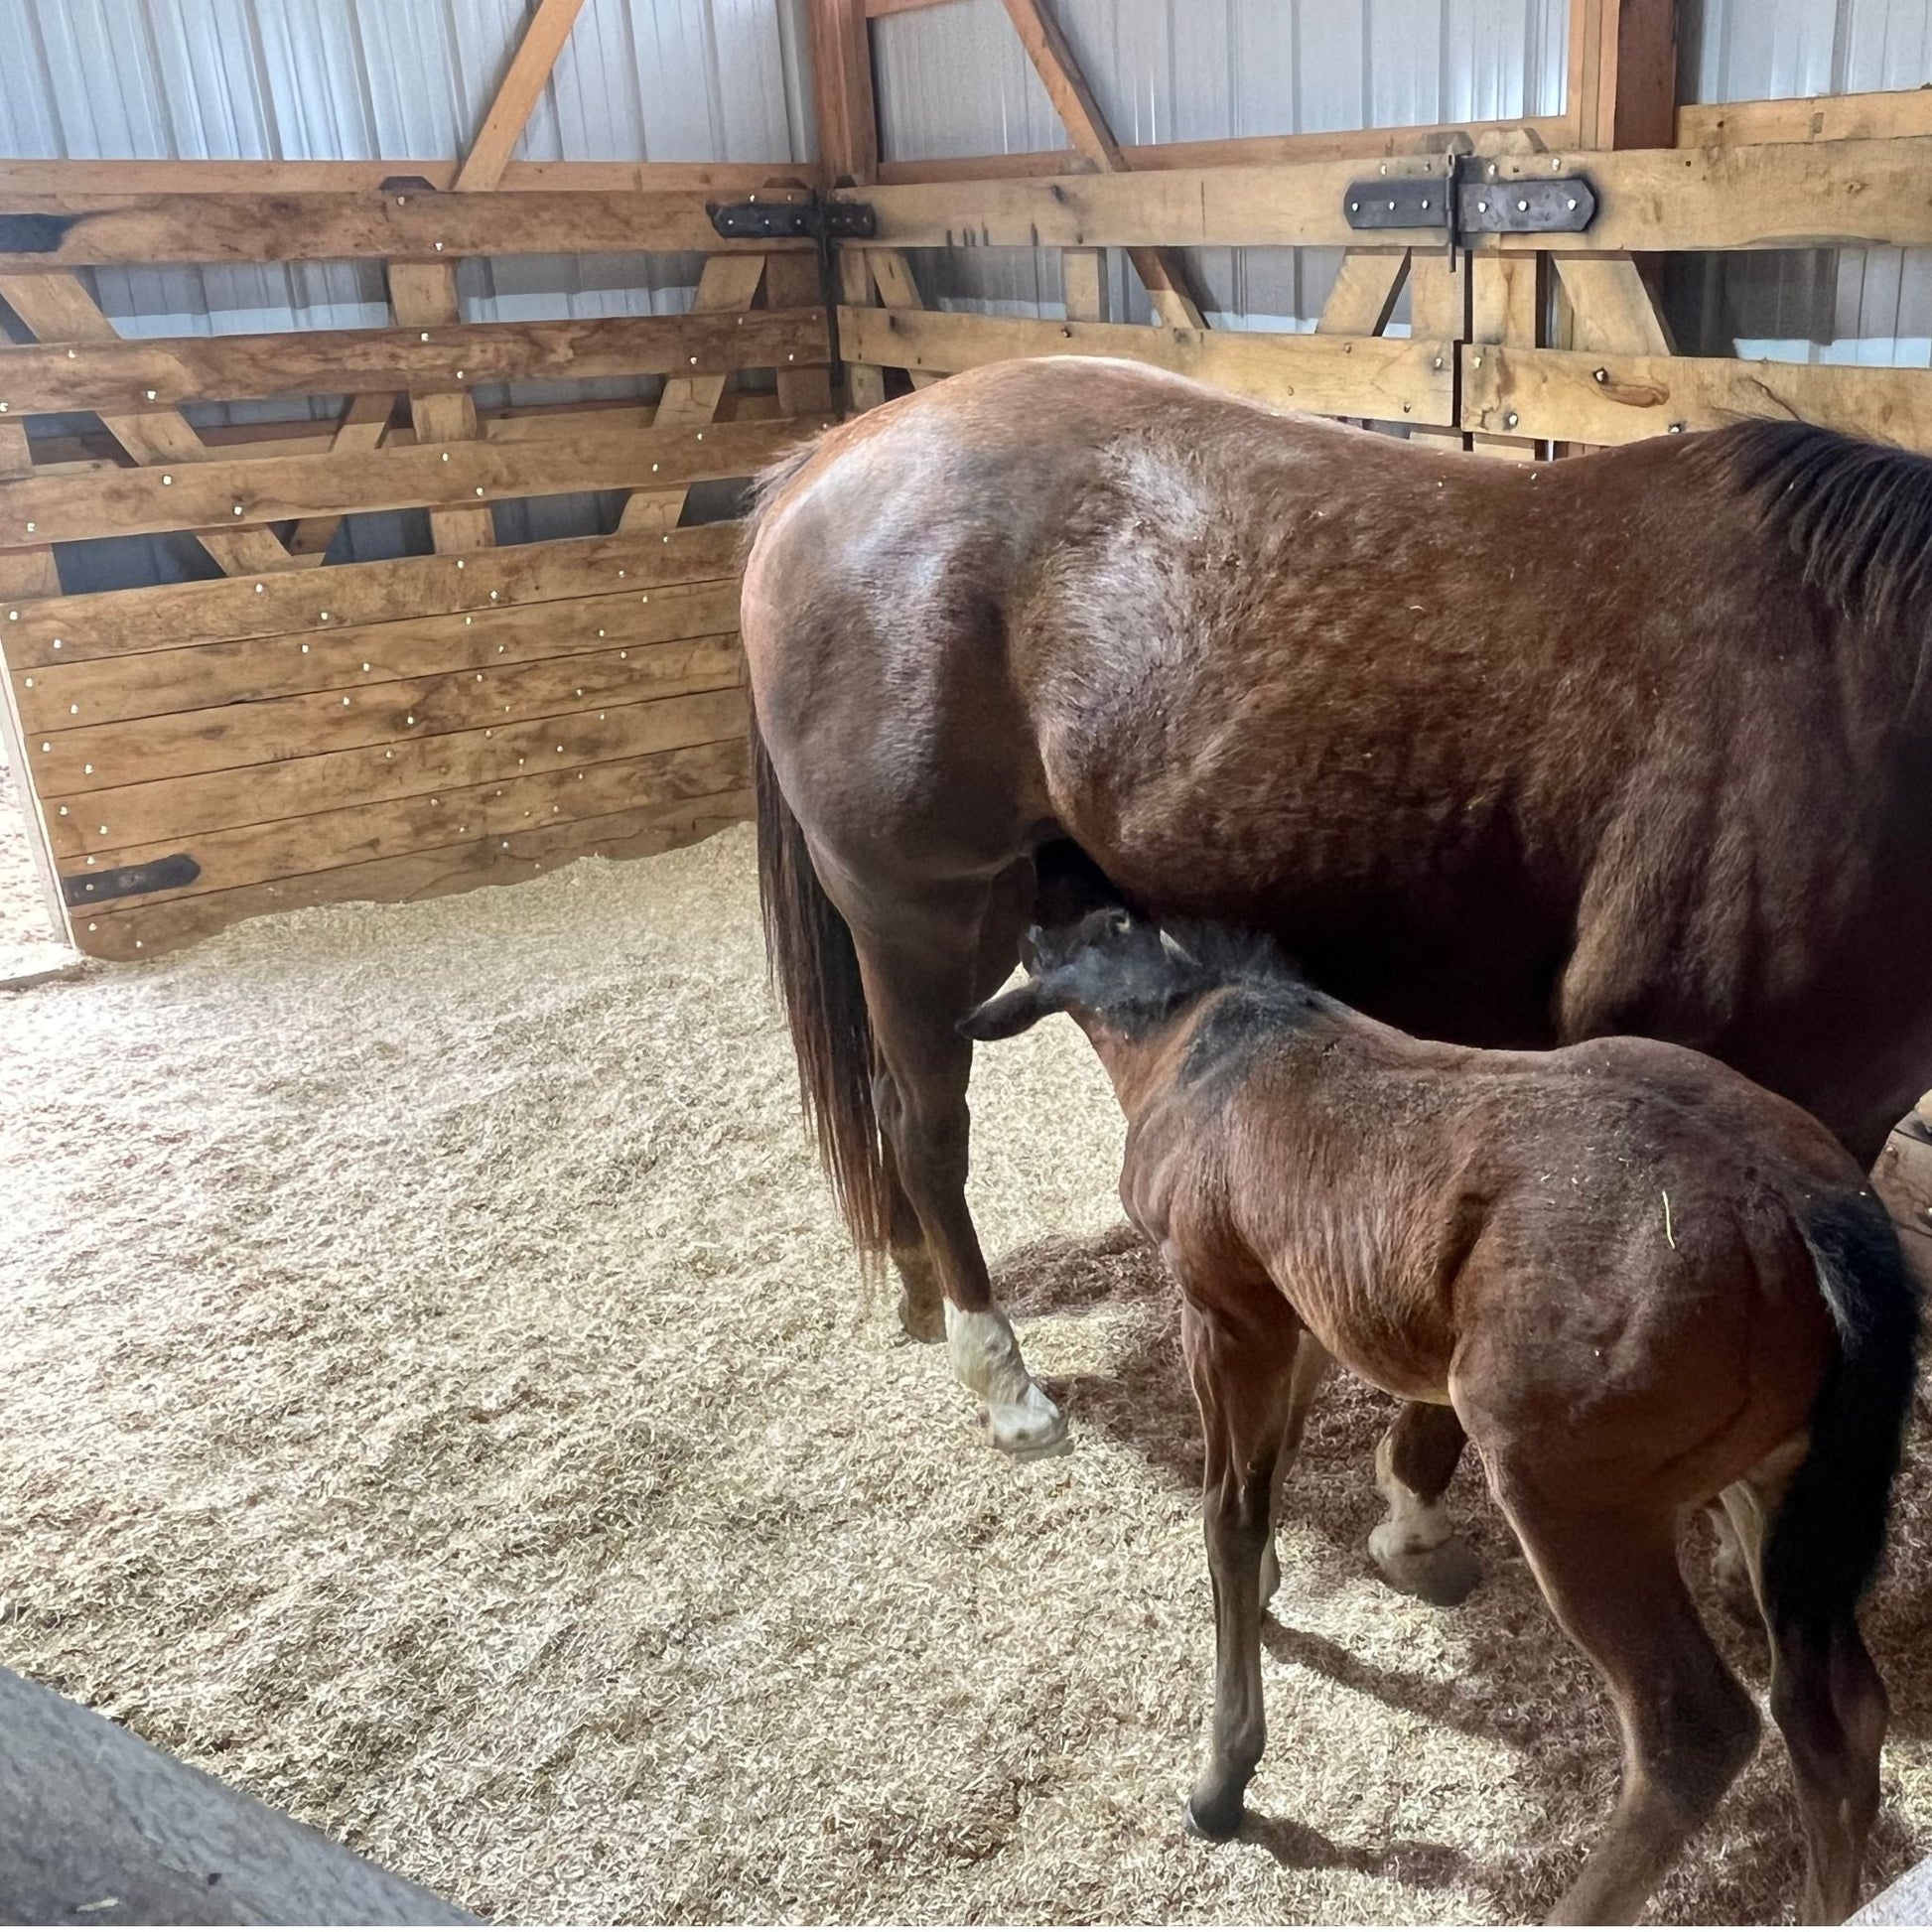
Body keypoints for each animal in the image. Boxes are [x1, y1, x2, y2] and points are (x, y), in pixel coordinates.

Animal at [966, 911, 1916, 1924]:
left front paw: (1223, 1780)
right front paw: (1264, 1592)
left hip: (1566, 1493)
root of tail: (1809, 1205)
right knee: (1835, 1715)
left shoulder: (1225, 1311)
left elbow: (1229, 1509)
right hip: (1771, 1478)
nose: (1027, 930)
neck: (1205, 1040)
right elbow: (1277, 1458)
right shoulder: (1301, 1312)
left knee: (1694, 1727)